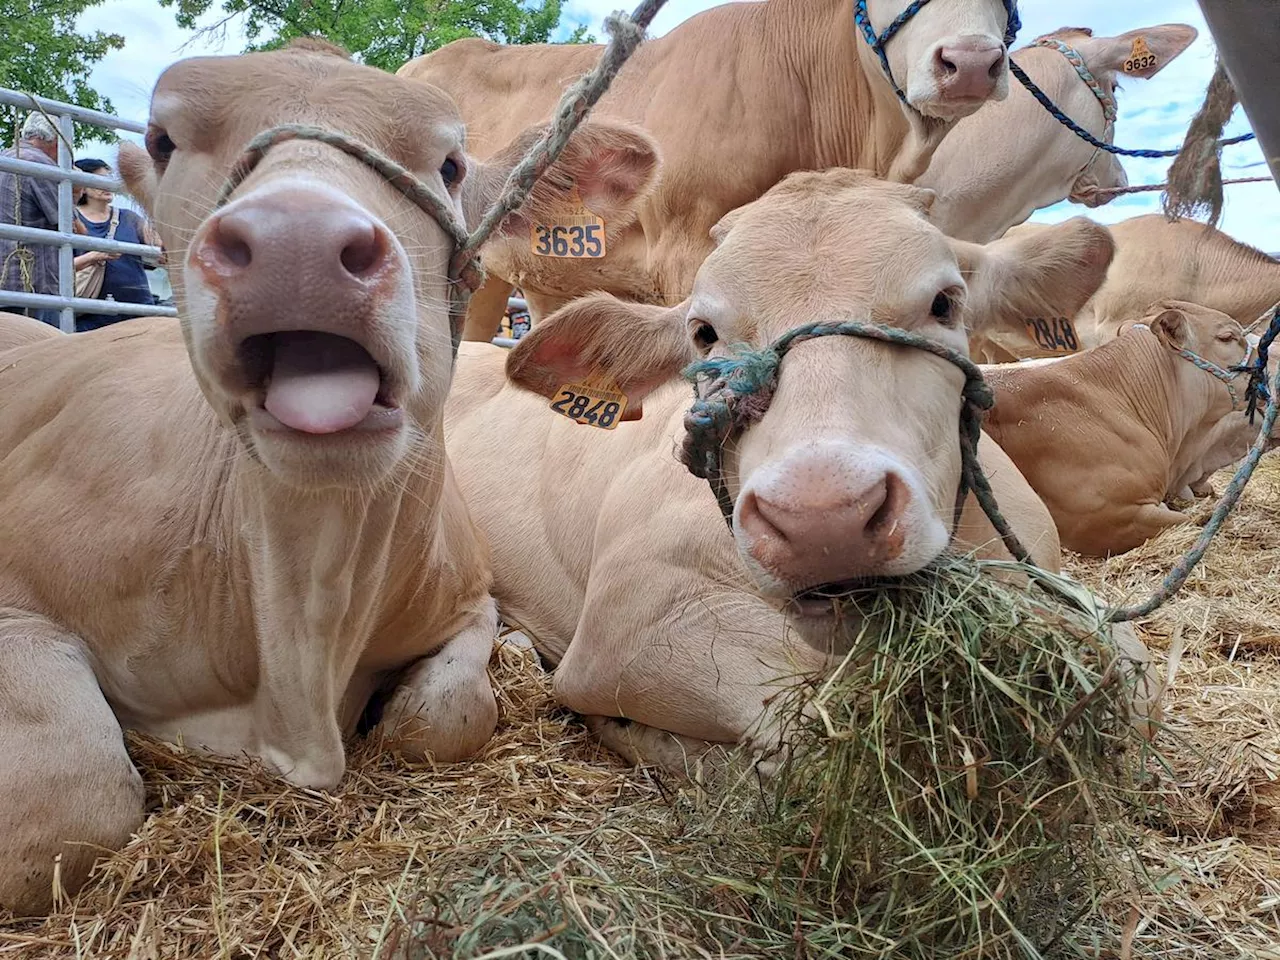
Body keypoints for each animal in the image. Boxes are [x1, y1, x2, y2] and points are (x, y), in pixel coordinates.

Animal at [0, 39, 660, 916]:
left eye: (451, 164)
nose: (296, 244)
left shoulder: (468, 595)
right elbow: (67, 804)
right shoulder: (17, 601)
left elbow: (447, 716)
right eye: (166, 140)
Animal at [442, 171, 1141, 773]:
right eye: (704, 332)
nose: (822, 518)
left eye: (945, 302)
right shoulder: (627, 622)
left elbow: (1133, 670)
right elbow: (810, 729)